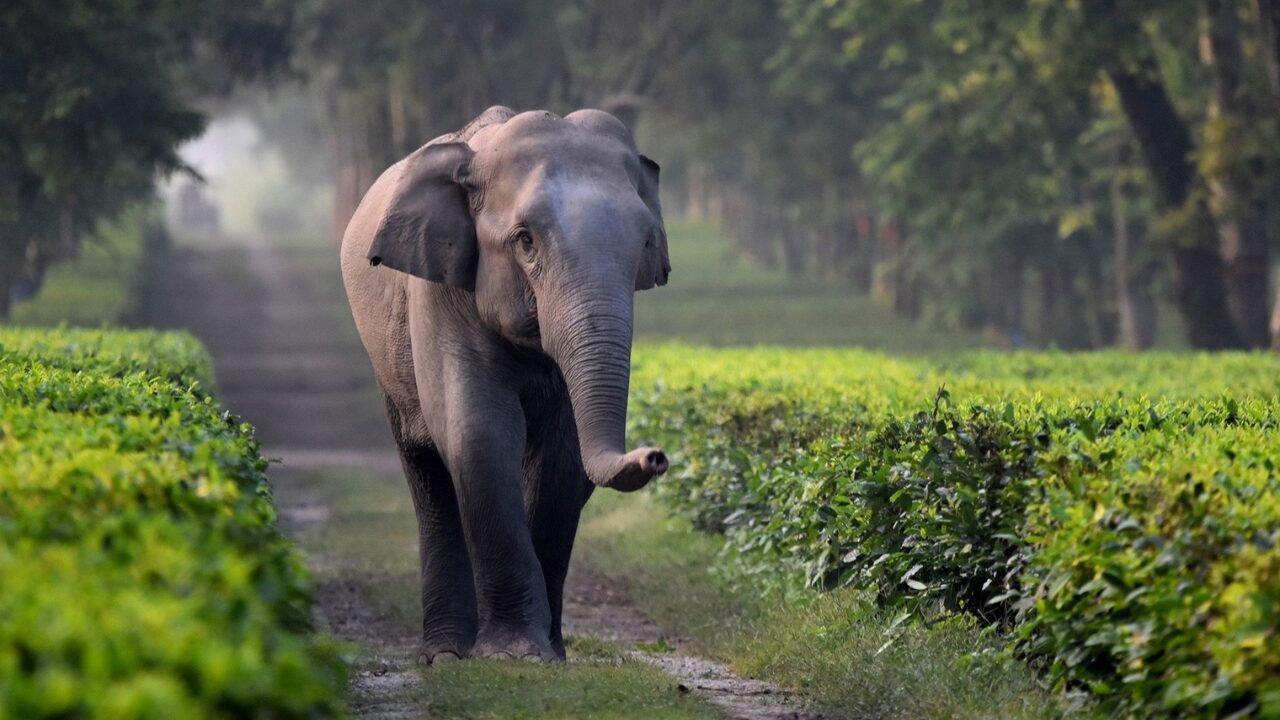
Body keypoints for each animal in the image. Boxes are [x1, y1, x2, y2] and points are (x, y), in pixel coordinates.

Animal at [339, 106, 671, 664]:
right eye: (525, 240)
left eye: (645, 243)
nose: (655, 456)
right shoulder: (441, 293)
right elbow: (480, 433)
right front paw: (515, 655)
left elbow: (561, 456)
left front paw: (547, 656)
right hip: (387, 364)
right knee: (427, 471)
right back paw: (447, 653)